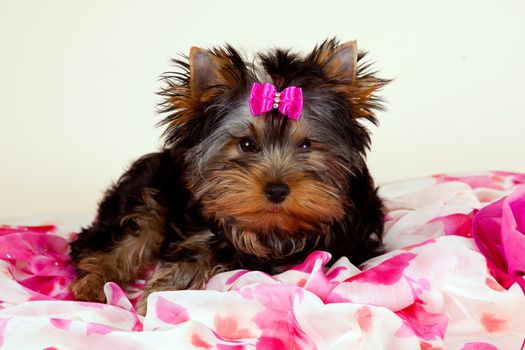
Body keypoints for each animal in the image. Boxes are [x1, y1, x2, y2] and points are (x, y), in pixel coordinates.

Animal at [68, 39, 388, 314]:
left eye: (307, 145)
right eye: (246, 144)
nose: (276, 189)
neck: (273, 231)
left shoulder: (350, 246)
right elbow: (198, 252)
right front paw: (170, 288)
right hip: (151, 188)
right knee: (125, 237)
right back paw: (93, 285)